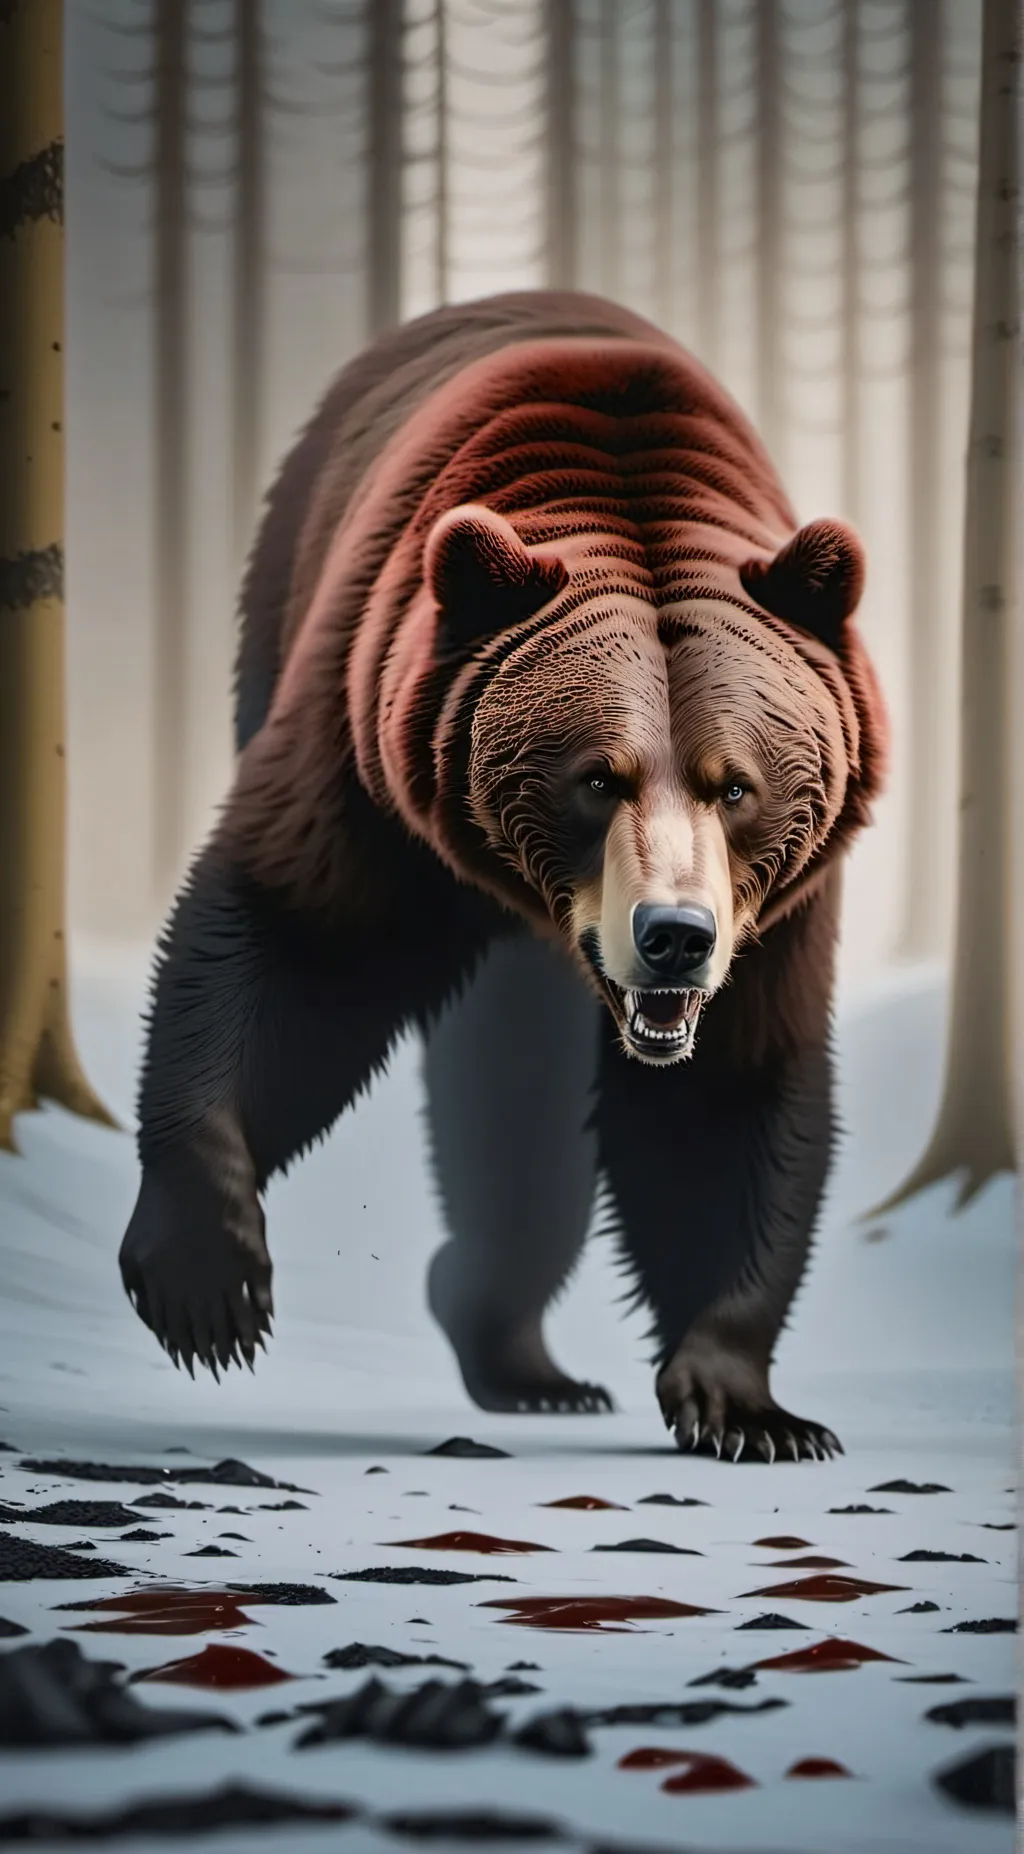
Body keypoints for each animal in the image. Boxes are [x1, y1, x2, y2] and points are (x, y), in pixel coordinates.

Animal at [119, 289, 888, 1463]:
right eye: (597, 777)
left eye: (736, 785)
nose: (674, 936)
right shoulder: (374, 755)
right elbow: (293, 940)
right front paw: (208, 1287)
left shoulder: (778, 904)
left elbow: (731, 1085)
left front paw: (747, 1406)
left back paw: (526, 1363)